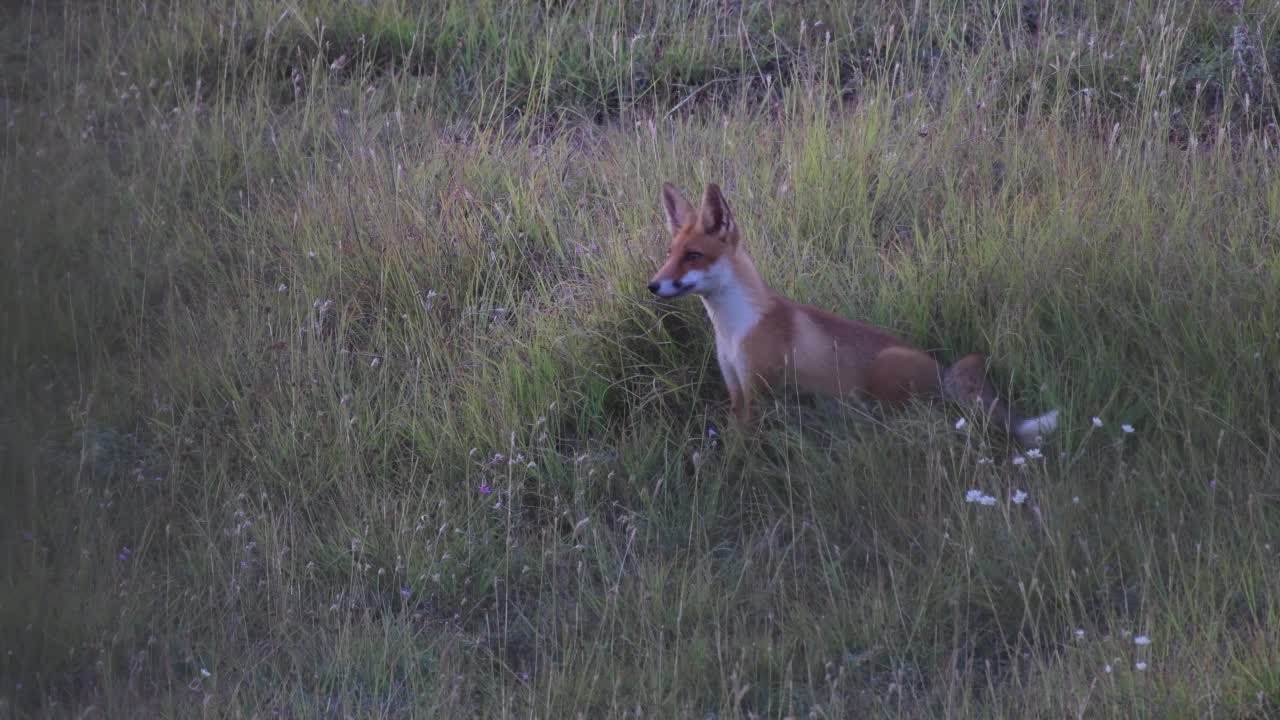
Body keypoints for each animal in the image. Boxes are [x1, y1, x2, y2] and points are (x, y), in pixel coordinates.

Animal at [650, 180, 1059, 443]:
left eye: (693, 256)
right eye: (670, 254)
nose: (652, 285)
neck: (735, 329)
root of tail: (944, 373)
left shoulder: (757, 390)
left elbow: (740, 446)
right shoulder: (735, 386)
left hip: (885, 375)